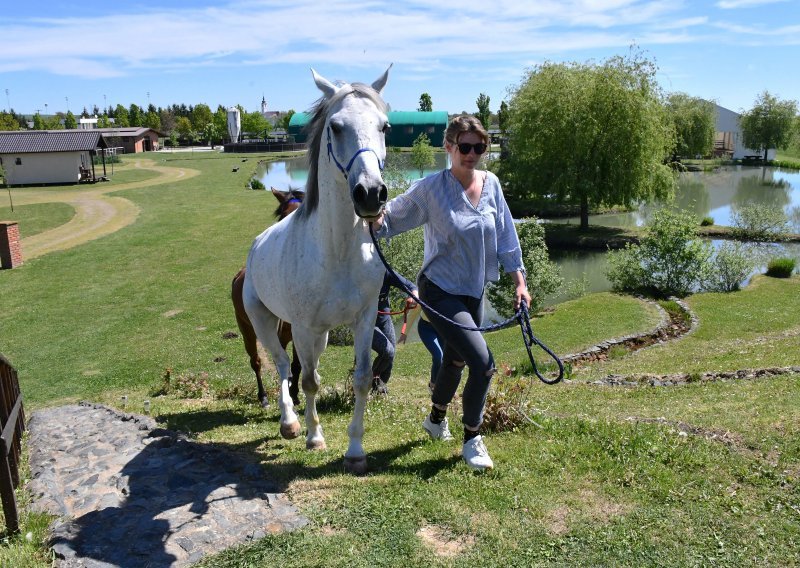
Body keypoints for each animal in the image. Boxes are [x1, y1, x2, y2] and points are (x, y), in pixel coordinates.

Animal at [234, 189, 306, 406]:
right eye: (284, 214)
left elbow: (297, 364)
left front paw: (295, 394)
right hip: (247, 329)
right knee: (256, 362)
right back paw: (263, 396)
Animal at [244, 66, 394, 474]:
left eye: (385, 127)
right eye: (336, 127)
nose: (371, 194)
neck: (337, 252)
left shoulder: (363, 320)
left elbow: (361, 379)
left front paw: (355, 450)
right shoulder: (302, 327)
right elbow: (308, 381)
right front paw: (314, 437)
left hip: (321, 335)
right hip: (265, 323)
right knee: (282, 366)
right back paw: (290, 423)